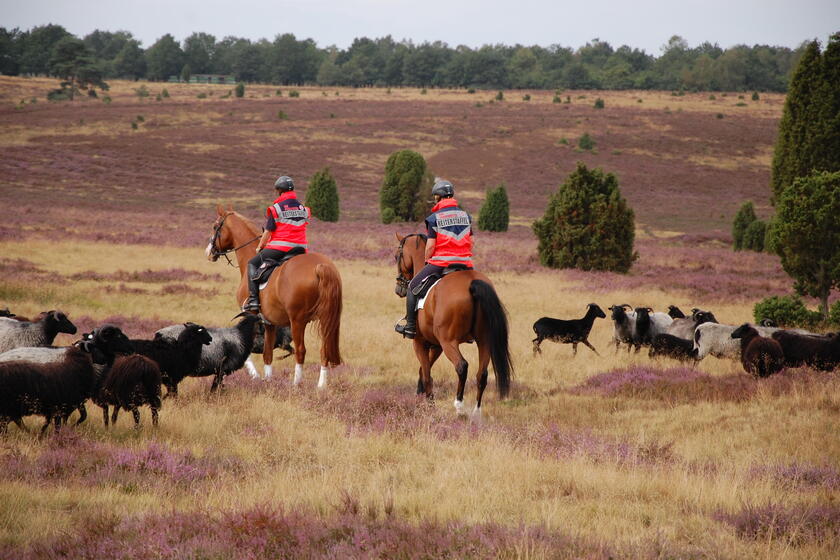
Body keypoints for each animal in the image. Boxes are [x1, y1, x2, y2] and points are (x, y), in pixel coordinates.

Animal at [207, 205, 342, 384]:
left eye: (215, 227)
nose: (209, 252)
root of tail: (320, 266)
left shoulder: (251, 315)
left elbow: (247, 350)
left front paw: (255, 375)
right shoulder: (270, 322)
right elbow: (267, 353)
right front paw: (267, 380)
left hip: (297, 321)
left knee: (301, 351)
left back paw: (296, 384)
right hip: (326, 319)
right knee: (324, 349)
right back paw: (321, 386)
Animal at [394, 230, 512, 418]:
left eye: (397, 256)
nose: (399, 289)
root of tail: (472, 282)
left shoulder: (420, 343)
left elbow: (426, 372)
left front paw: (429, 405)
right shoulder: (436, 345)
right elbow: (424, 370)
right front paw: (421, 396)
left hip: (450, 342)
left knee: (462, 366)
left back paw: (459, 406)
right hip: (484, 340)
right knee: (482, 374)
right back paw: (476, 412)